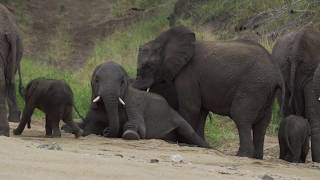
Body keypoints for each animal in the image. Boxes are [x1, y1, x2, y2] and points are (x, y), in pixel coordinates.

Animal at [132, 25, 282, 159]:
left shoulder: (188, 73)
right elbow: (202, 111)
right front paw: (199, 144)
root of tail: (275, 72)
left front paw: (185, 143)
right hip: (265, 91)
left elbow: (191, 107)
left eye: (148, 66)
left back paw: (242, 155)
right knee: (262, 124)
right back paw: (257, 157)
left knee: (241, 117)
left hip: (253, 86)